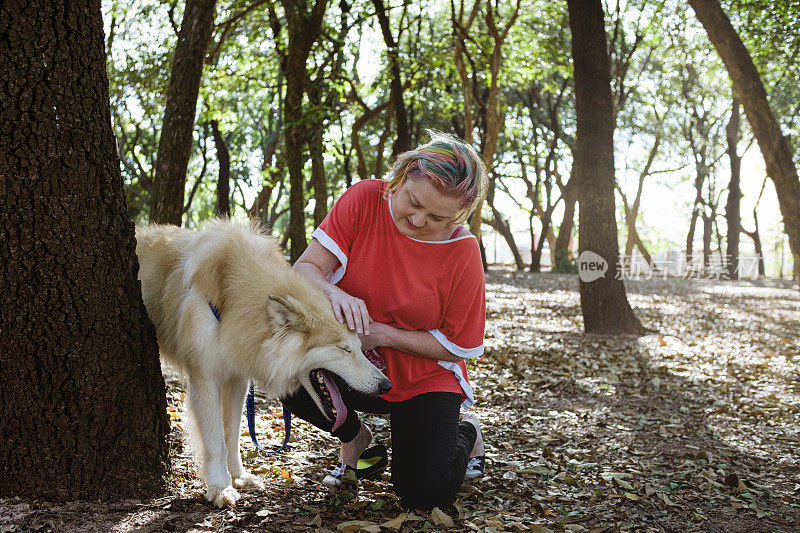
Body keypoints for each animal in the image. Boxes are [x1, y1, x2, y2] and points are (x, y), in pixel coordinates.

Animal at [136, 219, 392, 502]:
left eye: (360, 347)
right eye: (344, 349)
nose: (386, 385)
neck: (232, 300)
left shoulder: (237, 380)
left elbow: (232, 435)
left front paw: (238, 477)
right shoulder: (205, 380)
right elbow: (216, 441)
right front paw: (221, 488)